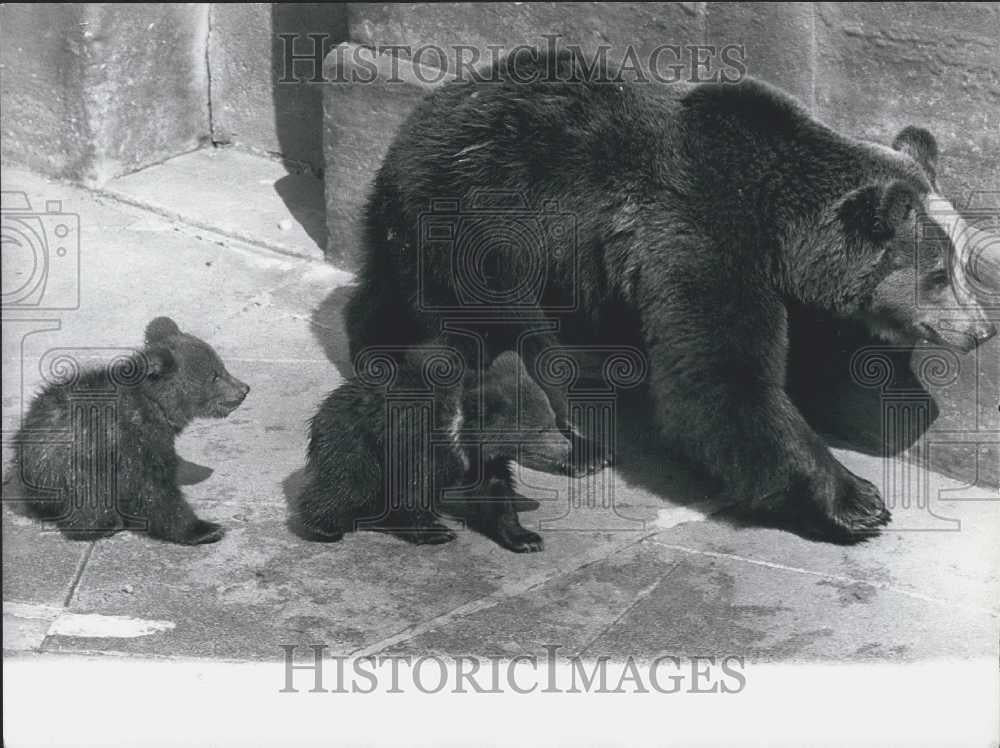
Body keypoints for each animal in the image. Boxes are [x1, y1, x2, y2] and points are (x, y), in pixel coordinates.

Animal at [342, 51, 992, 544]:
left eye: (962, 262)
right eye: (938, 274)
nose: (981, 329)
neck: (780, 228)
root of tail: (420, 116)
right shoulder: (699, 233)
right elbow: (719, 377)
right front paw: (855, 501)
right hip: (481, 227)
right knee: (503, 339)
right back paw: (576, 444)